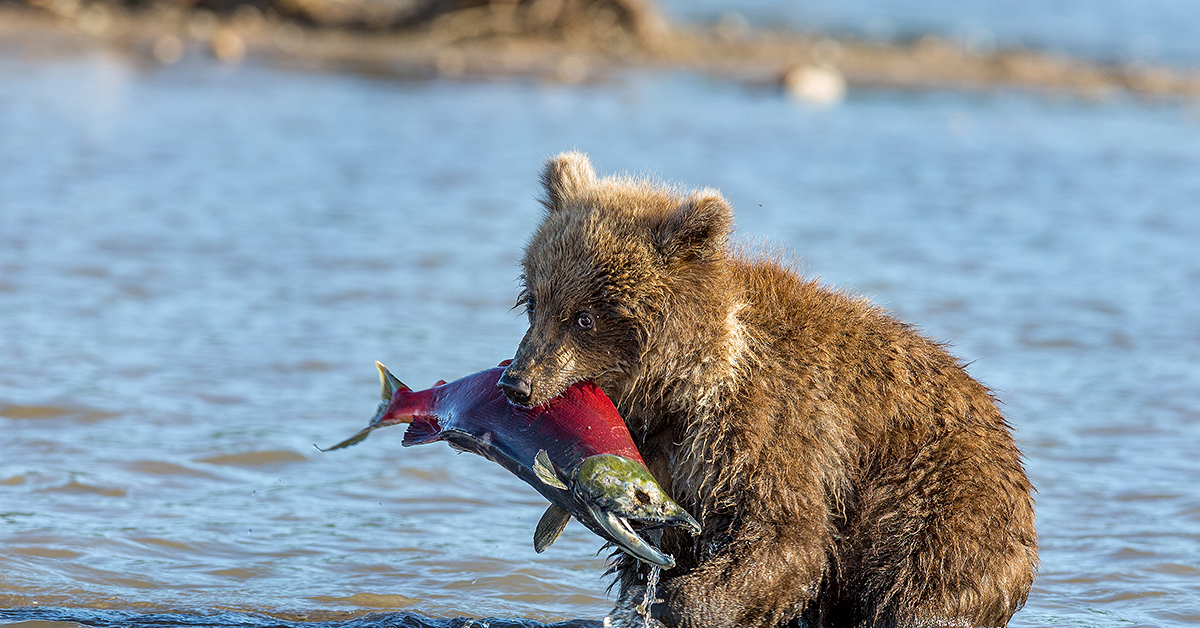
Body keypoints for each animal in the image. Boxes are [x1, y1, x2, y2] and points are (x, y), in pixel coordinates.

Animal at [499, 152, 1041, 628]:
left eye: (584, 317)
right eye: (535, 301)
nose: (516, 382)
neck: (683, 385)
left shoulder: (770, 425)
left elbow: (785, 537)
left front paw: (672, 601)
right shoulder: (665, 460)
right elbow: (658, 544)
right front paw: (647, 591)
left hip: (934, 498)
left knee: (921, 584)